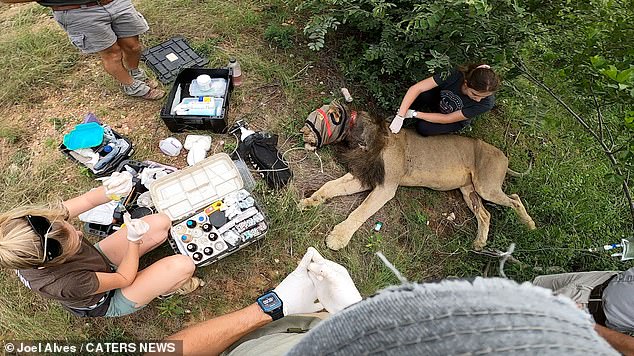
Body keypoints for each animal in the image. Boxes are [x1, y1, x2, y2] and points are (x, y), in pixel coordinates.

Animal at [298, 113, 536, 250]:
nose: (303, 131)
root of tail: (504, 155)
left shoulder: (386, 186)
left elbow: (361, 212)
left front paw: (338, 238)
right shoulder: (365, 177)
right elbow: (329, 187)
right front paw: (309, 202)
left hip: (486, 186)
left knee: (515, 199)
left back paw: (530, 225)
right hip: (468, 190)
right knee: (485, 214)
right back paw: (479, 243)